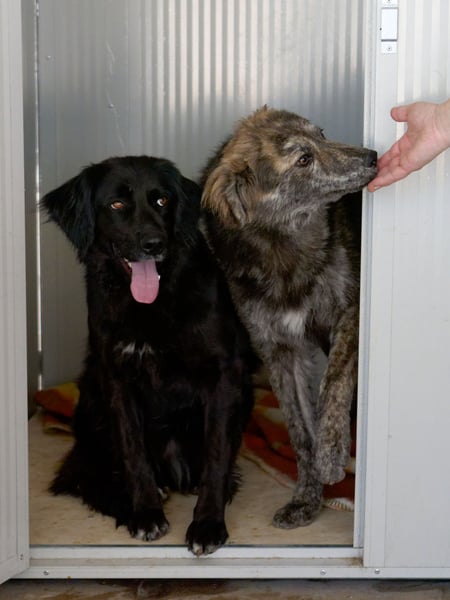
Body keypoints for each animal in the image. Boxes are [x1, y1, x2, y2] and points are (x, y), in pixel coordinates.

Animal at [42, 155, 254, 555]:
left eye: (162, 200)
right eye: (116, 204)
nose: (154, 244)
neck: (150, 304)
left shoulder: (225, 373)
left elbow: (217, 454)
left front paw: (208, 523)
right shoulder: (116, 377)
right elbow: (132, 451)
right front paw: (144, 514)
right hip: (91, 399)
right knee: (83, 477)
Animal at [201, 107, 378, 528]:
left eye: (322, 134)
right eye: (303, 159)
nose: (372, 157)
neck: (285, 250)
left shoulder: (350, 312)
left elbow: (333, 382)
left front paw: (332, 452)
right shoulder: (278, 351)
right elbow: (298, 430)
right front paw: (307, 497)